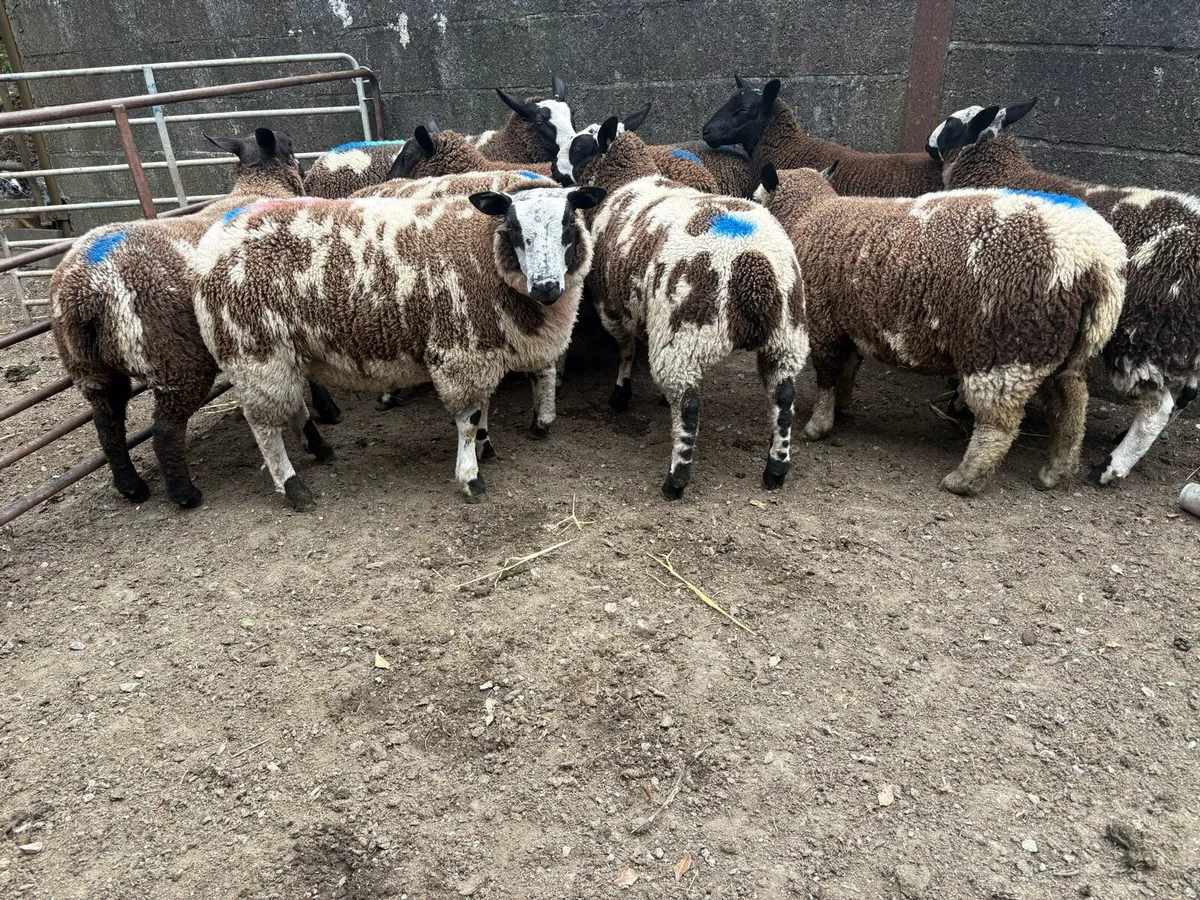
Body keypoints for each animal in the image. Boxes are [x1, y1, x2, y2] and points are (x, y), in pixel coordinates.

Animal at [49, 127, 340, 508]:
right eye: (290, 147)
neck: (260, 187)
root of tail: (84, 289)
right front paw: (329, 411)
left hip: (91, 369)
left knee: (108, 425)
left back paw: (132, 487)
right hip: (177, 361)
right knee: (163, 430)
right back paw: (184, 494)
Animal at [191, 183, 605, 508]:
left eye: (568, 223)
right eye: (515, 228)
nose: (546, 287)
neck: (481, 251)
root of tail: (211, 245)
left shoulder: (478, 346)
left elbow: (483, 408)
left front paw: (484, 448)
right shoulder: (460, 349)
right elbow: (469, 419)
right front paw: (471, 476)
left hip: (280, 354)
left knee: (290, 405)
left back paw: (319, 447)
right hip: (253, 350)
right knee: (264, 429)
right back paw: (294, 488)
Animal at [568, 117, 810, 500]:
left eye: (579, 145)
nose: (555, 166)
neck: (626, 179)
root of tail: (753, 265)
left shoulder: (614, 305)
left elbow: (626, 350)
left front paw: (620, 395)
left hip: (684, 335)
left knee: (689, 407)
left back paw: (676, 480)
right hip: (786, 337)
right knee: (784, 400)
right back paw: (775, 470)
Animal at [754, 162, 1127, 495]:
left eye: (756, 198)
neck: (810, 212)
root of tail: (1097, 262)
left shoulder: (825, 323)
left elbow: (828, 377)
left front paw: (818, 426)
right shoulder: (850, 325)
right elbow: (847, 370)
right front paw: (841, 409)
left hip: (1005, 348)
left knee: (999, 425)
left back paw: (964, 481)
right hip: (1056, 347)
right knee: (1072, 402)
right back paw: (1056, 470)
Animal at [929, 99, 1200, 487]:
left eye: (952, 126)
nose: (928, 143)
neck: (1002, 173)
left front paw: (960, 403)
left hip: (1147, 329)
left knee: (1157, 406)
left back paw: (1110, 467)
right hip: (1180, 333)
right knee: (1186, 394)